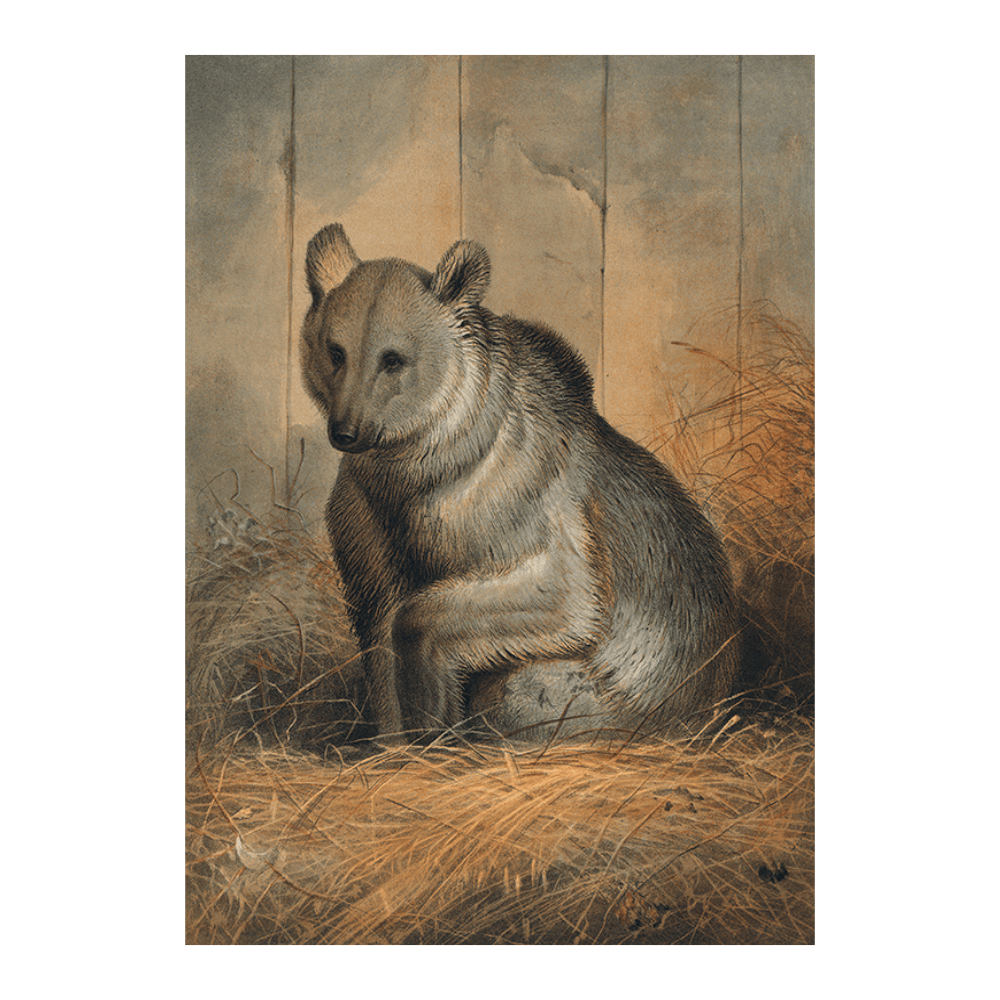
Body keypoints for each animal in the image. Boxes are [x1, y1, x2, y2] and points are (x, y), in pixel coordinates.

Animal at [300, 223, 739, 743]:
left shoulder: (514, 500)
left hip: (604, 697)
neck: (419, 464)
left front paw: (435, 722)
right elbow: (379, 623)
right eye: (336, 351)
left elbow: (559, 596)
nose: (346, 431)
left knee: (518, 693)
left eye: (393, 359)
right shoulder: (370, 516)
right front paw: (393, 740)